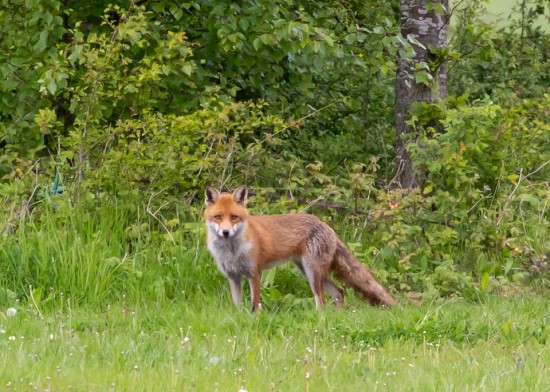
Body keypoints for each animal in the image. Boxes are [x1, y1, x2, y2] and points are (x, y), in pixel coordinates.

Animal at [204, 185, 396, 310]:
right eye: (218, 217)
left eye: (234, 217)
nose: (226, 232)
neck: (232, 252)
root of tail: (326, 226)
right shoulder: (233, 277)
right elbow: (237, 306)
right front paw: (239, 319)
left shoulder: (254, 273)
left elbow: (254, 305)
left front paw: (254, 321)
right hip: (308, 271)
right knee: (339, 292)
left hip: (312, 272)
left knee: (322, 302)